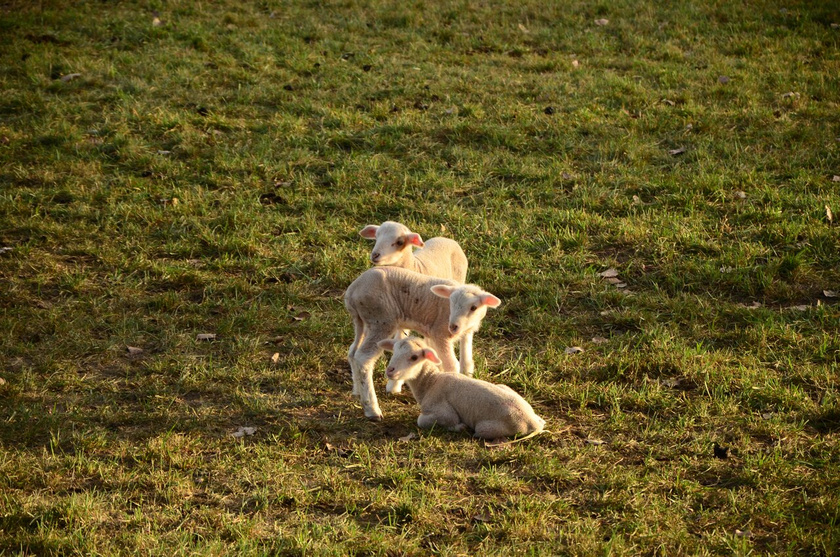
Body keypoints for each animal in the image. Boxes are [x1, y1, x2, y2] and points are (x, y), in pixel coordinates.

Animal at [346, 268, 502, 420]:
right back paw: (371, 409)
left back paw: (357, 391)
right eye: (451, 303)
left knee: (353, 352)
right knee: (363, 357)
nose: (453, 326)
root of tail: (352, 290)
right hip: (380, 319)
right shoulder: (439, 334)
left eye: (473, 307)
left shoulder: (466, 332)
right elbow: (452, 365)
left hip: (363, 322)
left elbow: (466, 363)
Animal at [378, 334, 548, 438]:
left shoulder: (443, 412)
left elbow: (423, 421)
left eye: (414, 357)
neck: (430, 382)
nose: (390, 370)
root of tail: (532, 423)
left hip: (486, 428)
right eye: (393, 351)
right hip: (505, 388)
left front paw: (460, 427)